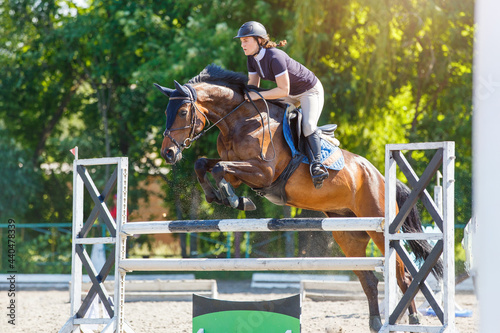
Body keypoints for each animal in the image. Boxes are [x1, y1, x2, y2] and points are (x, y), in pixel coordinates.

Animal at [155, 63, 442, 330]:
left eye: (182, 112)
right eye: (167, 112)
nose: (168, 153)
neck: (241, 122)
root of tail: (380, 177)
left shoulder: (263, 172)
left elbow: (218, 168)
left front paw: (234, 199)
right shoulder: (239, 170)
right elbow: (204, 164)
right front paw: (220, 197)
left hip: (380, 229)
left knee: (402, 277)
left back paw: (412, 319)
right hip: (348, 234)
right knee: (369, 279)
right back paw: (375, 323)